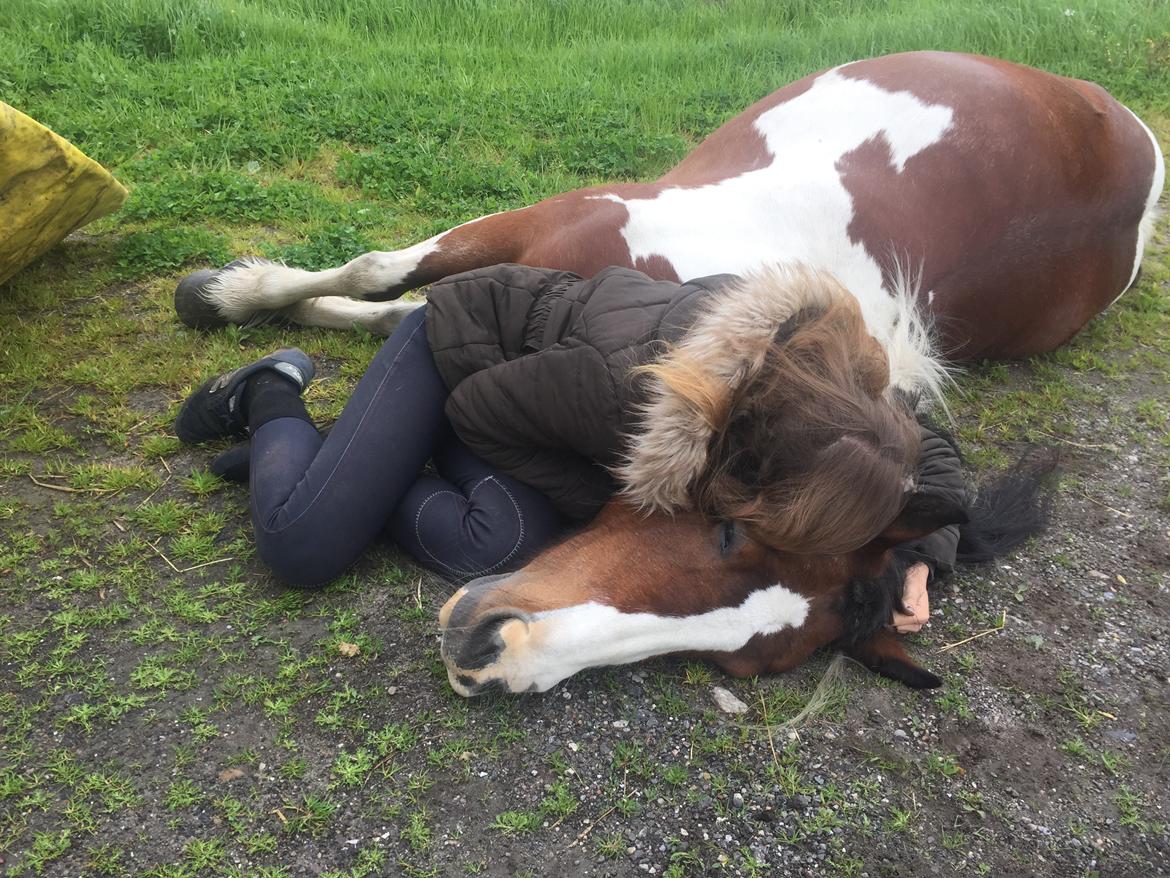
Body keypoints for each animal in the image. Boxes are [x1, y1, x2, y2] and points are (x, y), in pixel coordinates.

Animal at [177, 49, 1165, 693]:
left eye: (726, 658)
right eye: (727, 534)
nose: (498, 656)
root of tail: (1121, 119)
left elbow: (396, 304)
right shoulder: (554, 219)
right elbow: (377, 273)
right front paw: (231, 294)